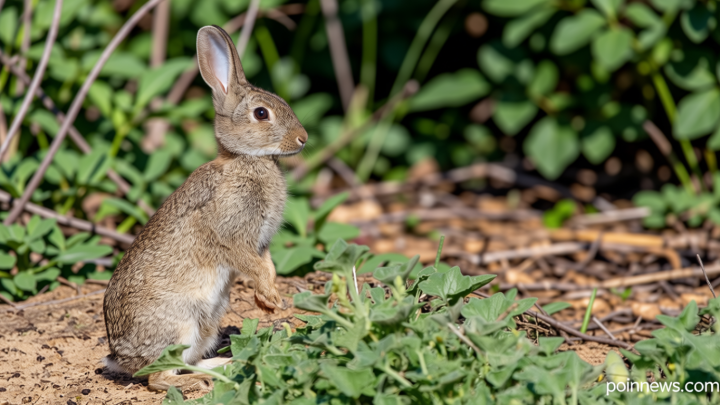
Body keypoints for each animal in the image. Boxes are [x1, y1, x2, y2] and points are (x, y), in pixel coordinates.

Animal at [102, 25, 308, 392]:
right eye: (261, 113)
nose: (303, 138)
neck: (245, 159)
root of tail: (120, 358)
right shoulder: (231, 235)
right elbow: (251, 264)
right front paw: (271, 297)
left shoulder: (261, 243)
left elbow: (267, 264)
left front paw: (268, 300)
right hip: (180, 324)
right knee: (159, 377)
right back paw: (202, 379)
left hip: (207, 322)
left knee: (188, 361)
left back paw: (226, 365)